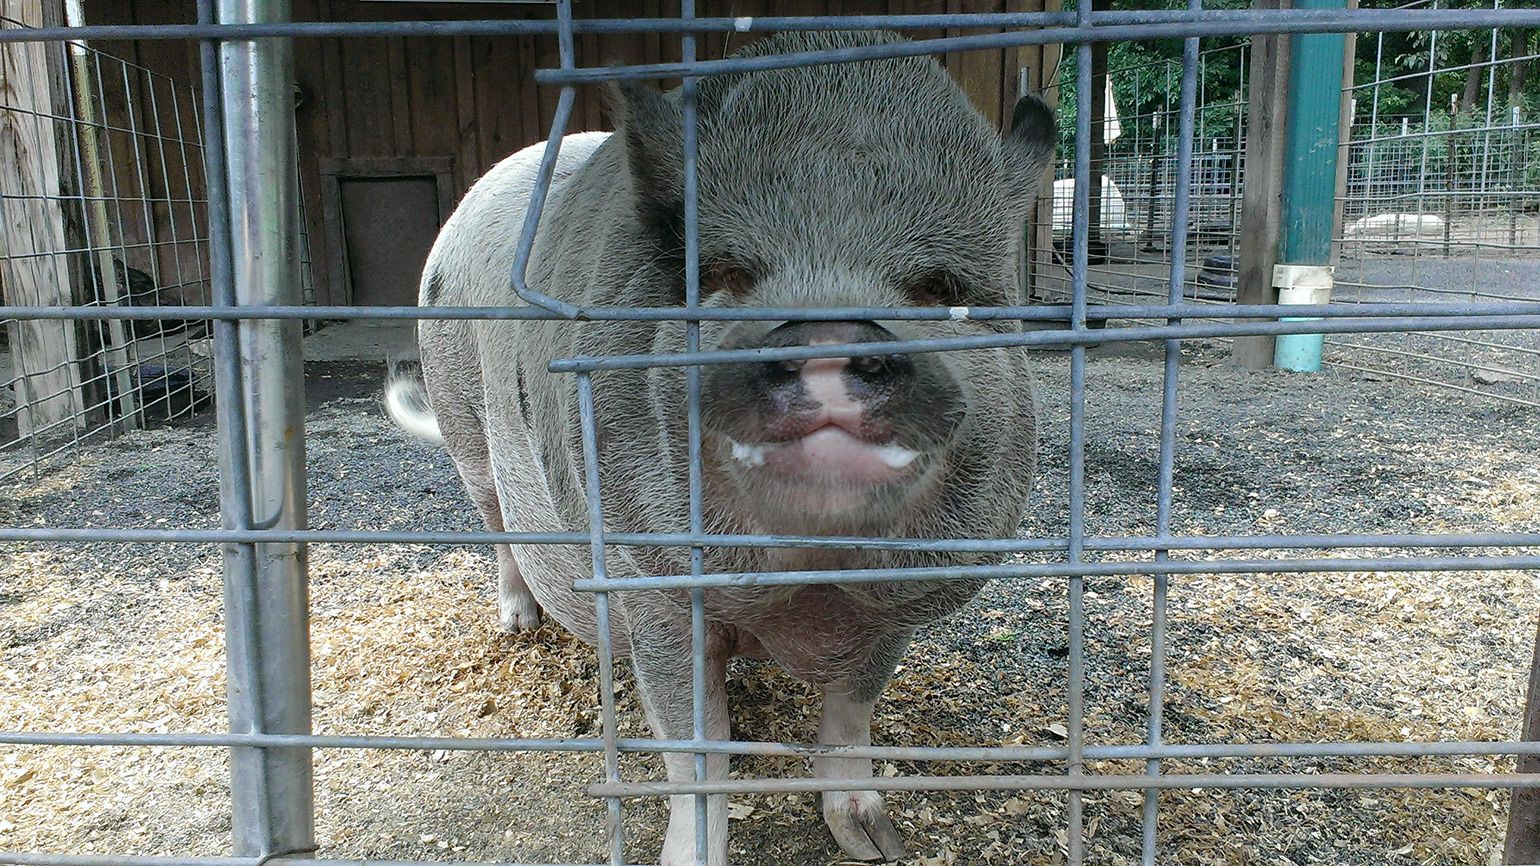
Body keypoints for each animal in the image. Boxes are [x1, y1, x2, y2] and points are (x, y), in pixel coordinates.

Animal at [385, 30, 1059, 856]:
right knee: (492, 520)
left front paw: (877, 844)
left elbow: (853, 710)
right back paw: (518, 624)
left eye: (941, 290)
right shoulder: (652, 582)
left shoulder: (898, 599)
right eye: (729, 274)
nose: (830, 336)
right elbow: (694, 742)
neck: (808, 577)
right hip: (458, 409)